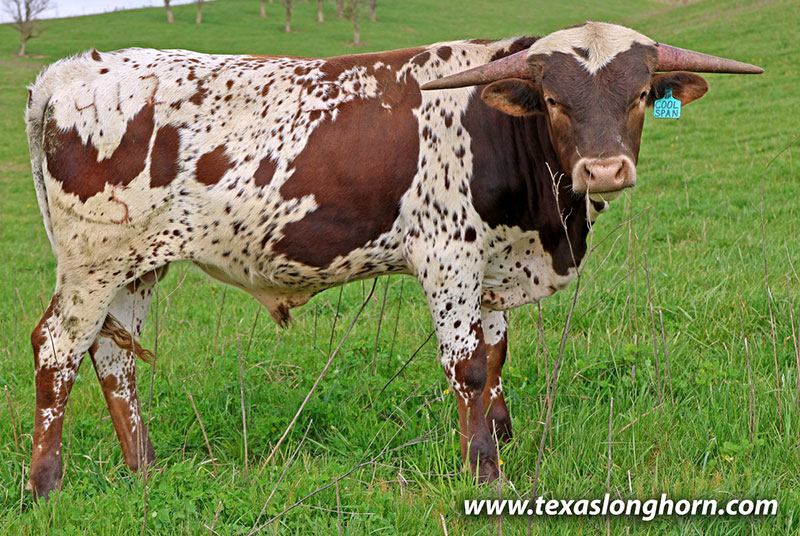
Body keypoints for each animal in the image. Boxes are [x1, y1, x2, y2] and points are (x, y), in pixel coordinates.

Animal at [25, 21, 761, 499]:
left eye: (639, 95)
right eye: (554, 99)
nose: (604, 169)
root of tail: (68, 72)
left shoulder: (491, 270)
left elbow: (496, 358)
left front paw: (498, 441)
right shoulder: (447, 258)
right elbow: (467, 368)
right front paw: (483, 472)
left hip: (139, 265)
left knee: (113, 357)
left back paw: (144, 471)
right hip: (91, 264)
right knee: (57, 349)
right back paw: (45, 486)